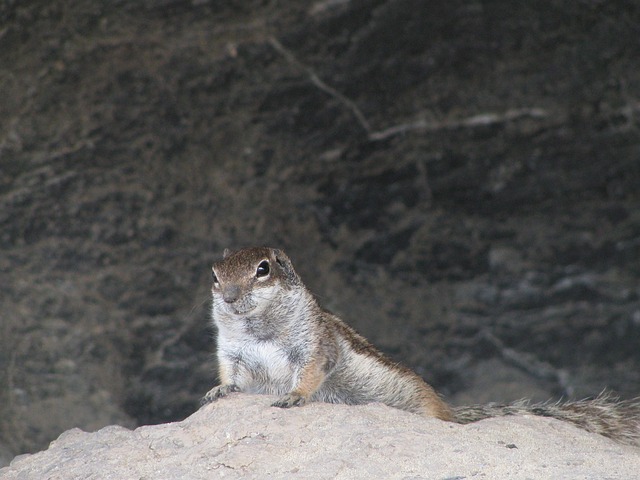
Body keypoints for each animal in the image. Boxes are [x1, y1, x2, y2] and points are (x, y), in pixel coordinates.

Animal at [202, 248, 640, 446]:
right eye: (215, 274)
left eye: (263, 269)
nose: (230, 296)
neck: (257, 328)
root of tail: (450, 414)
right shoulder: (232, 352)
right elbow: (231, 375)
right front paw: (218, 390)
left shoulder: (314, 344)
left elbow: (310, 373)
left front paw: (294, 396)